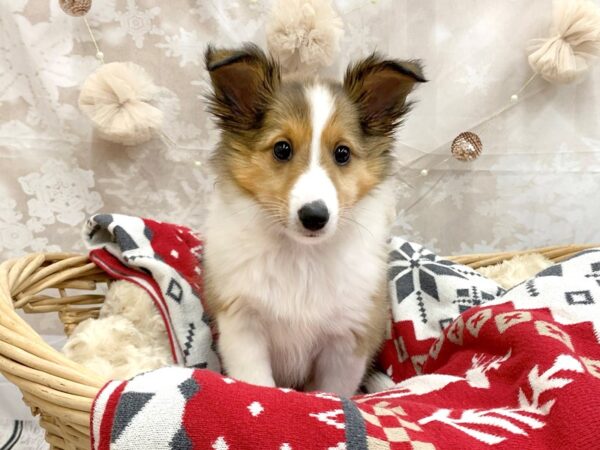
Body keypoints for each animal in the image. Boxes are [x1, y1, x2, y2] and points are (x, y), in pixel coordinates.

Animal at [204, 44, 424, 396]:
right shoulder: (243, 325)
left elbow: (333, 392)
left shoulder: (346, 340)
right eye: (282, 149)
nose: (314, 216)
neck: (301, 257)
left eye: (343, 153)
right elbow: (256, 381)